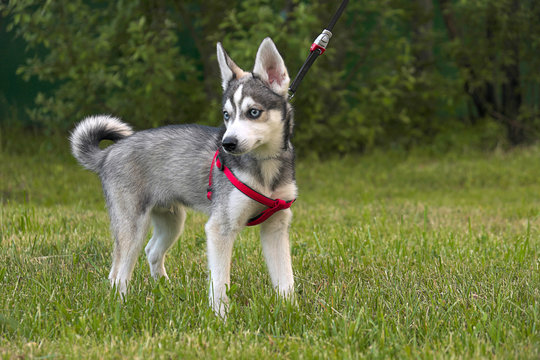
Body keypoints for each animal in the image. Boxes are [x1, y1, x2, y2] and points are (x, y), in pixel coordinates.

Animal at [70, 38, 298, 316]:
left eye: (253, 112)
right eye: (226, 115)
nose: (227, 143)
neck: (264, 168)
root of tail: (109, 153)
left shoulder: (276, 226)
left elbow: (285, 278)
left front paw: (291, 311)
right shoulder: (219, 228)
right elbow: (219, 282)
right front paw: (220, 317)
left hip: (172, 221)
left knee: (151, 251)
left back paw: (164, 287)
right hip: (132, 226)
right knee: (117, 273)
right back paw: (120, 306)